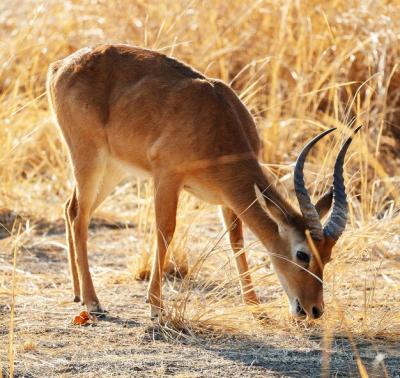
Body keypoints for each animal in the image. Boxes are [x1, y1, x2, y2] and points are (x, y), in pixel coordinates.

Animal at [47, 45, 360, 322]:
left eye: (327, 256)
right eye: (302, 253)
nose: (314, 309)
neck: (216, 121)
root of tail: (60, 66)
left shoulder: (227, 197)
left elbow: (237, 241)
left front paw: (254, 306)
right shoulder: (167, 178)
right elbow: (165, 232)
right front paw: (156, 308)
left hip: (113, 169)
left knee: (70, 209)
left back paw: (78, 294)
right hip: (89, 159)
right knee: (79, 217)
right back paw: (94, 302)